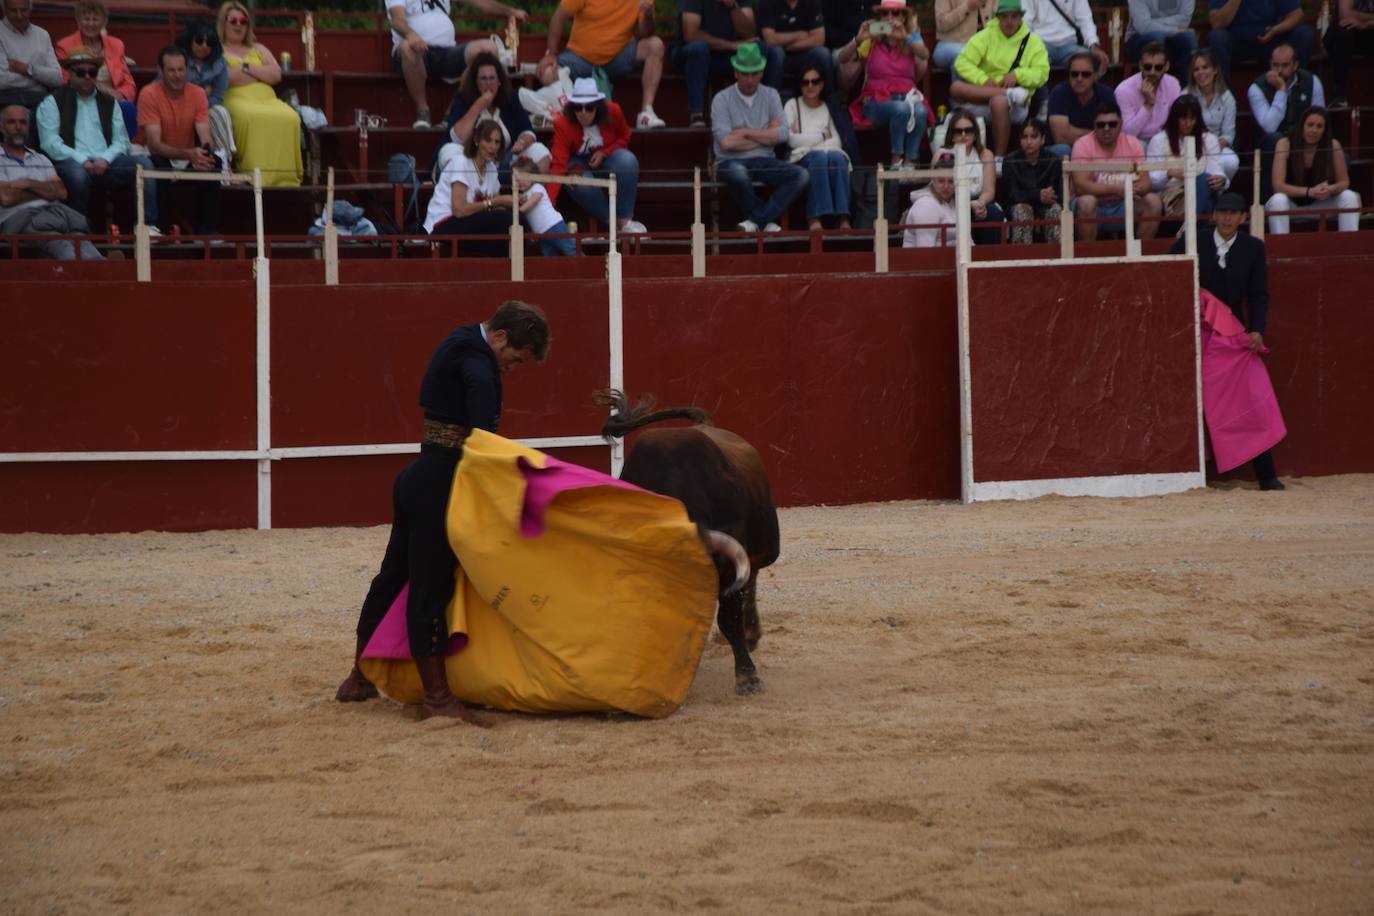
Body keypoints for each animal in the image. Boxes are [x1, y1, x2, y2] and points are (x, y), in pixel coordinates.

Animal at [596, 390, 780, 694]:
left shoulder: (728, 565)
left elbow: (729, 619)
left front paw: (747, 676)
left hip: (767, 546)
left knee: (753, 573)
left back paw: (751, 635)